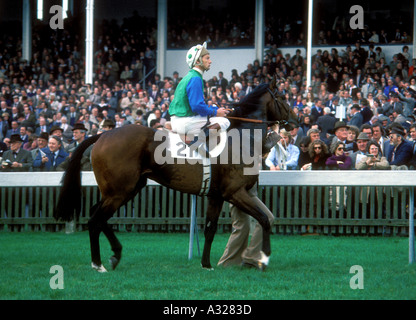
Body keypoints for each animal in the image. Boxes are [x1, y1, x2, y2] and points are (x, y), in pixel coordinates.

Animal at [54, 76, 296, 272]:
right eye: (283, 96)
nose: (296, 121)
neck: (241, 139)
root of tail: (103, 135)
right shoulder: (235, 193)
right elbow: (264, 219)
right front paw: (264, 258)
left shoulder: (216, 196)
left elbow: (210, 230)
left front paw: (206, 264)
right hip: (119, 191)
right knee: (95, 220)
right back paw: (99, 263)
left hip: (124, 189)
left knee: (97, 215)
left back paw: (115, 254)